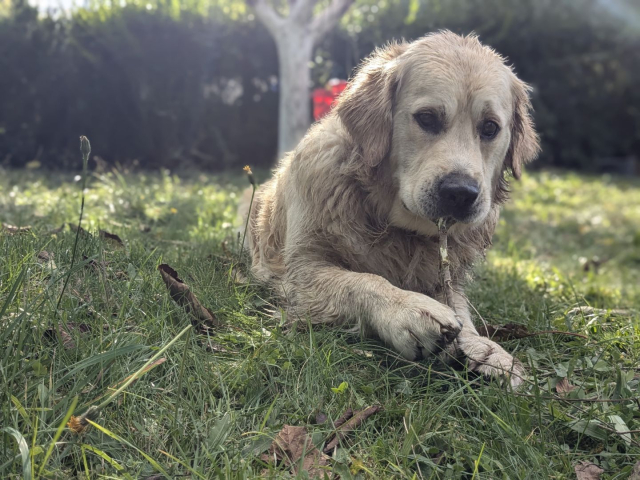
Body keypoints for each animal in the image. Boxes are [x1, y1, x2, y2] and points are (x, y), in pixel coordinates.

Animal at [244, 31, 540, 387]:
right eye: (427, 118)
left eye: (490, 128)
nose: (460, 193)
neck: (392, 223)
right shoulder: (300, 270)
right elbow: (361, 280)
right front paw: (408, 310)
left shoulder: (447, 277)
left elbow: (461, 309)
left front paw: (485, 348)